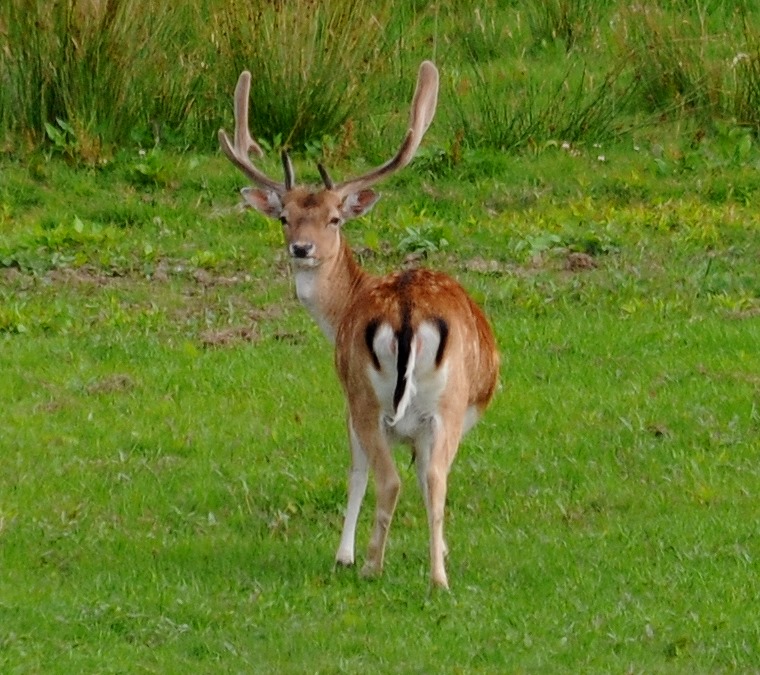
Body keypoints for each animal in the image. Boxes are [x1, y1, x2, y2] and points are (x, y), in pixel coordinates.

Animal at [220, 60, 502, 588]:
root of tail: (407, 310)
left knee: (392, 478)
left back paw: (376, 566)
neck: (343, 308)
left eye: (334, 218)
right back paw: (427, 576)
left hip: (370, 396)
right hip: (437, 404)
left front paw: (344, 554)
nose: (301, 248)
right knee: (430, 478)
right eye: (285, 217)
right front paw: (435, 550)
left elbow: (356, 472)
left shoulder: (348, 395)